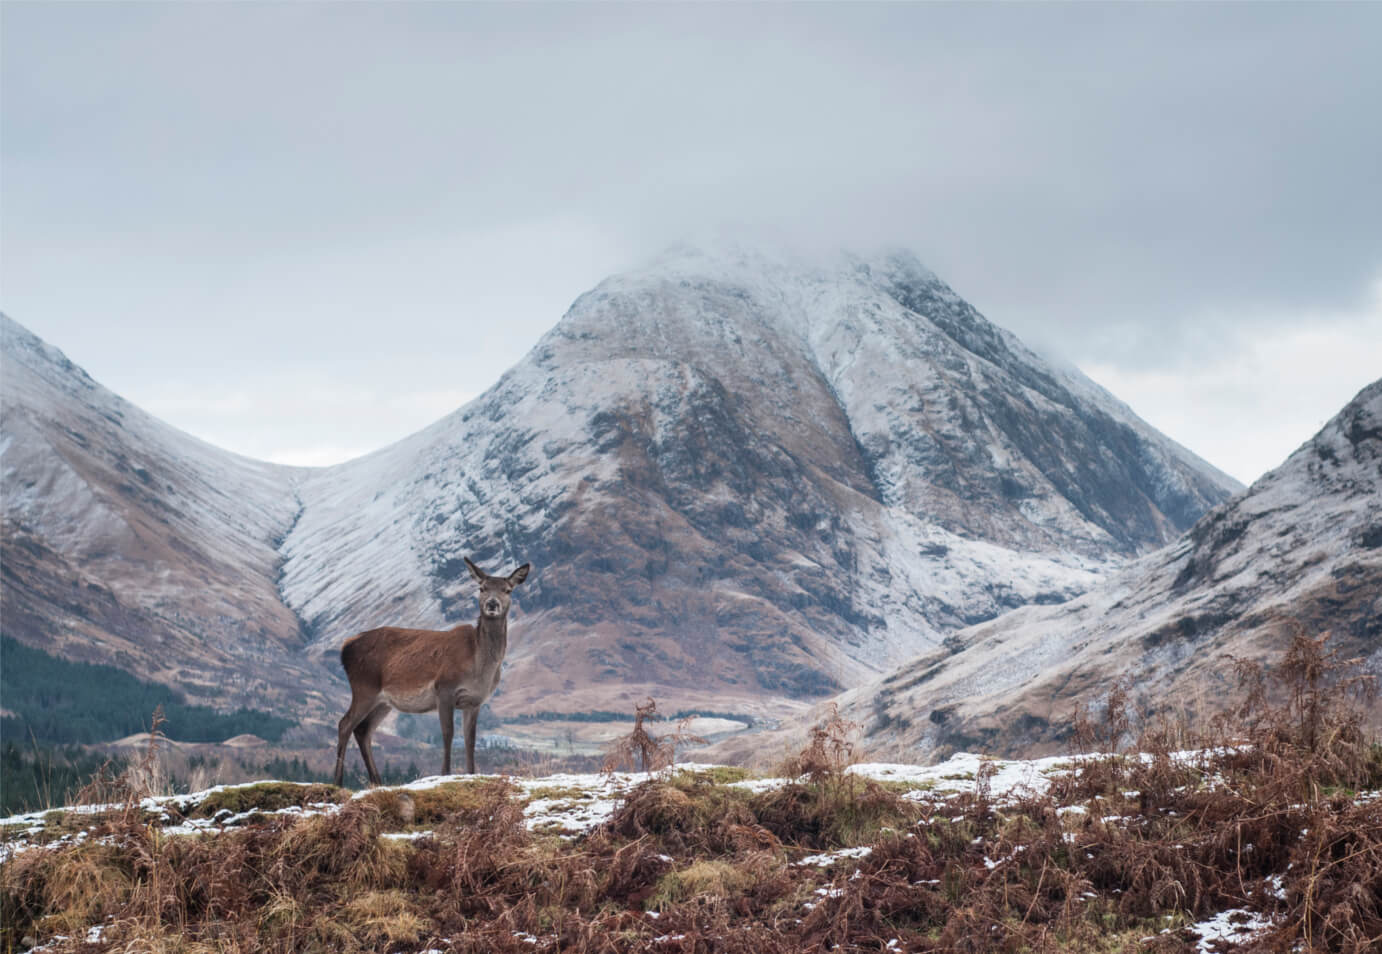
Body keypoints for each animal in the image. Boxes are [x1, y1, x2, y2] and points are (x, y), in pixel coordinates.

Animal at [331, 553, 530, 785]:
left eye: (507, 590)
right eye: (482, 588)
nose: (492, 603)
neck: (479, 667)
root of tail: (345, 647)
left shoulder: (474, 700)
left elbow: (470, 739)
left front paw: (471, 773)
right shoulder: (444, 688)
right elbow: (448, 733)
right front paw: (445, 774)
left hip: (383, 701)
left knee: (363, 730)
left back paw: (377, 782)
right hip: (364, 687)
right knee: (345, 724)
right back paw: (337, 782)